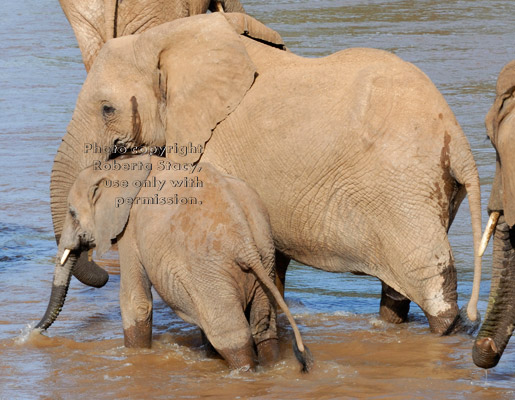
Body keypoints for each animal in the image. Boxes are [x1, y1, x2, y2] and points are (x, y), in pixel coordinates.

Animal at [36, 154, 312, 372]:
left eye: (72, 213)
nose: (34, 331)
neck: (125, 165)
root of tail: (246, 243)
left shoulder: (131, 229)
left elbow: (136, 302)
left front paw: (135, 356)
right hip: (264, 258)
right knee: (263, 327)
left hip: (210, 269)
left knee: (229, 331)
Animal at [51, 13, 484, 334]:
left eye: (107, 109)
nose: (100, 273)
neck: (168, 39)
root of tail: (458, 139)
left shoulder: (216, 146)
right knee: (398, 290)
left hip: (402, 191)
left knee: (432, 289)